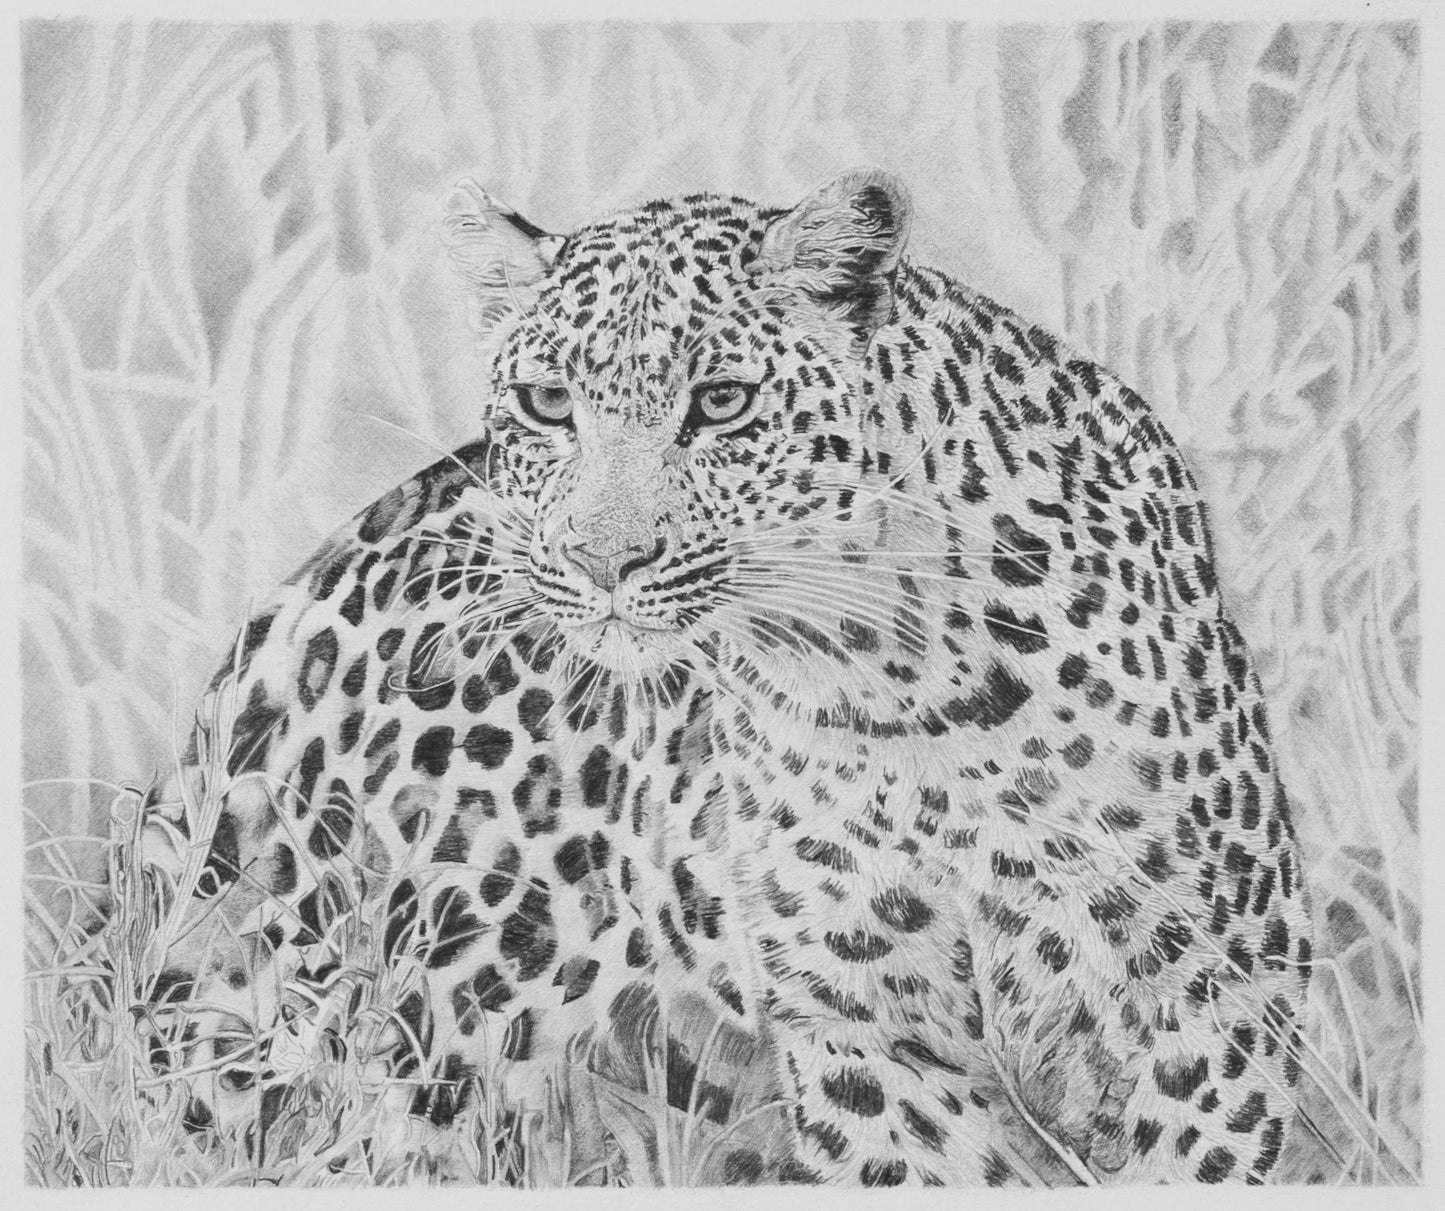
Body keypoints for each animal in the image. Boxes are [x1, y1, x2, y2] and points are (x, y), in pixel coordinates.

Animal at [128, 168, 1312, 1186]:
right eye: (549, 402)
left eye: (724, 402)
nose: (601, 560)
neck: (902, 689)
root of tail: (308, 579)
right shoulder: (863, 1030)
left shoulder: (1201, 1010)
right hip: (340, 1011)